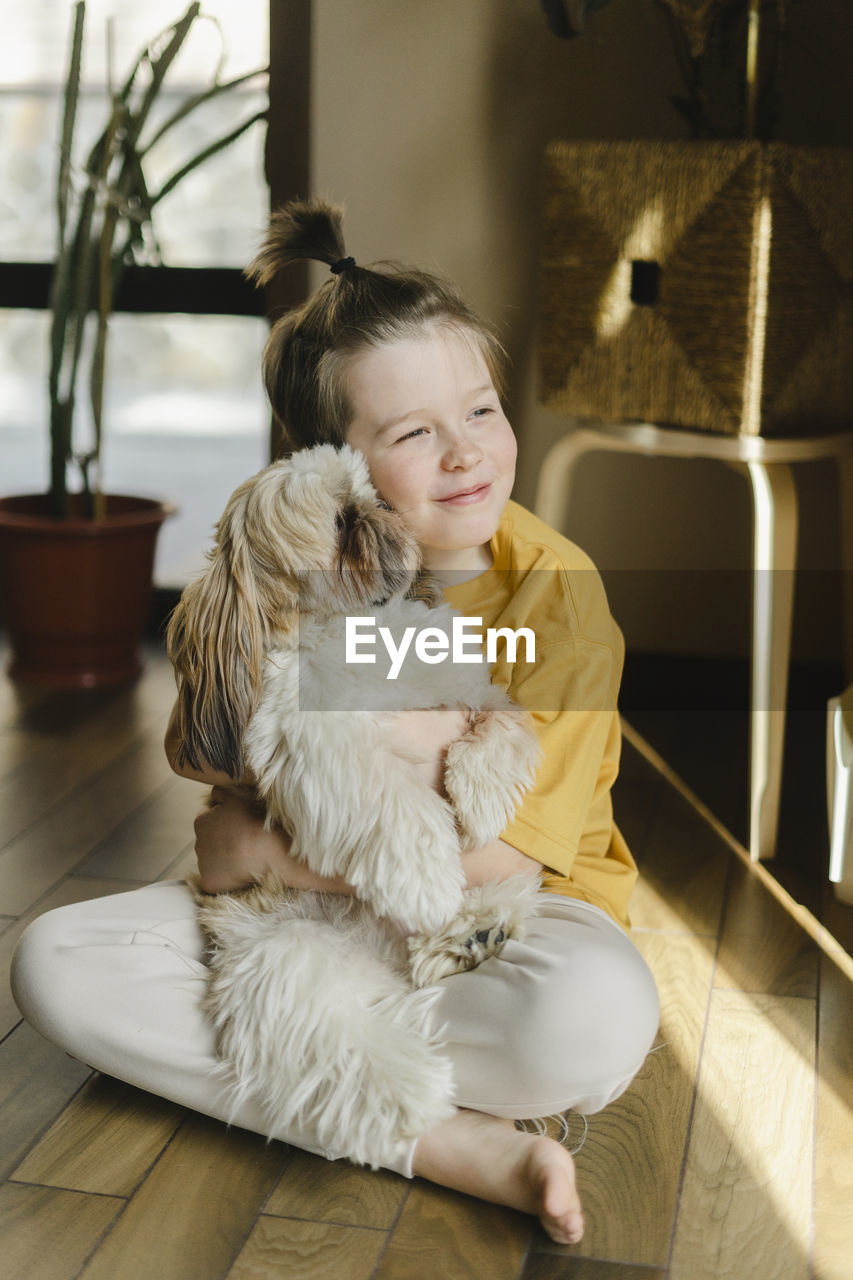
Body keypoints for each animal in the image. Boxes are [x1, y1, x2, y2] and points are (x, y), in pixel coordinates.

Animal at [166, 445, 537, 1167]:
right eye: (342, 522)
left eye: (377, 494)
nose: (382, 512)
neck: (362, 633)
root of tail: (382, 962)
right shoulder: (312, 740)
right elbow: (394, 804)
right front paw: (426, 879)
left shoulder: (464, 689)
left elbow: (505, 724)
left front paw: (478, 798)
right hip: (284, 959)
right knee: (338, 1039)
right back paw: (413, 1090)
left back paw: (475, 929)